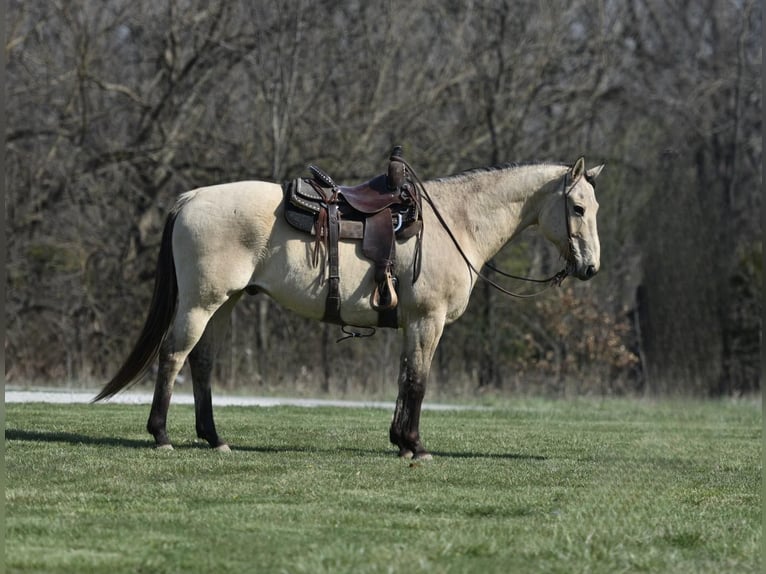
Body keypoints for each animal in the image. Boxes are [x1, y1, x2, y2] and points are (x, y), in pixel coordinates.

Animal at [93, 150, 604, 464]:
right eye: (578, 208)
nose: (590, 267)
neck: (456, 224)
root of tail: (191, 198)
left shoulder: (411, 324)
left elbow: (404, 380)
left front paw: (400, 442)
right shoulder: (428, 320)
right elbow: (418, 382)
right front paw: (416, 446)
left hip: (225, 303)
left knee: (201, 364)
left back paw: (215, 438)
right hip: (201, 303)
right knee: (173, 358)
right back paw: (161, 435)